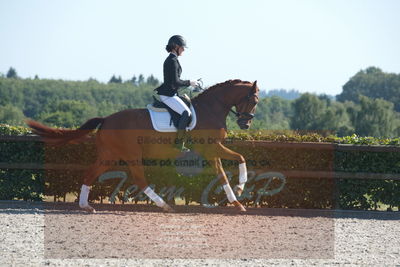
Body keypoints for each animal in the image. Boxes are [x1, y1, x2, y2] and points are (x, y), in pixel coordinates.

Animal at [27, 79, 260, 214]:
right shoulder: (212, 148)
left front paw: (238, 199)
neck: (210, 109)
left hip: (110, 155)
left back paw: (86, 206)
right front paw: (240, 193)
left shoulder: (213, 151)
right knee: (139, 179)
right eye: (254, 101)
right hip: (130, 154)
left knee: (90, 173)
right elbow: (236, 163)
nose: (245, 124)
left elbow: (227, 169)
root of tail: (106, 119)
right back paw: (164, 205)